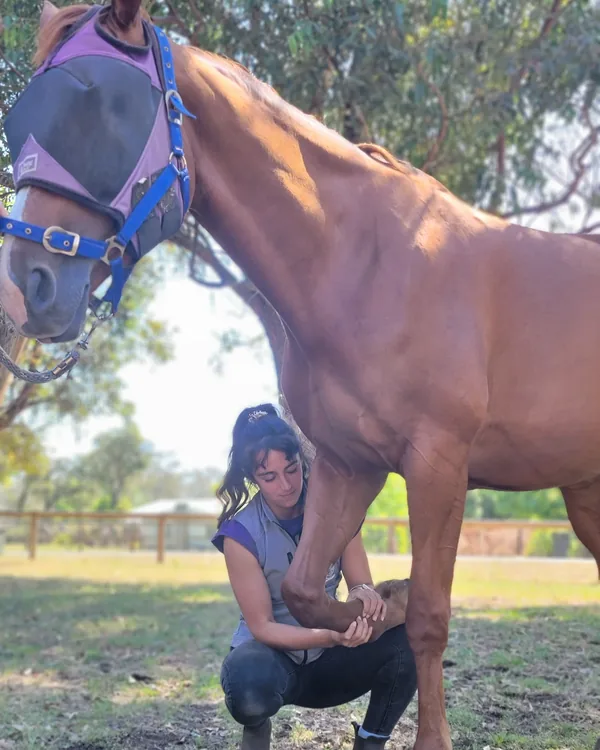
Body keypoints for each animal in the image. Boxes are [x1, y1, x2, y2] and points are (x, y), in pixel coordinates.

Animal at [1, 2, 599, 748]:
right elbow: (308, 590)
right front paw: (379, 604)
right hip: (586, 492)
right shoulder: (349, 464)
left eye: (98, 103)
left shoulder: (437, 465)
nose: (27, 289)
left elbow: (431, 619)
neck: (370, 262)